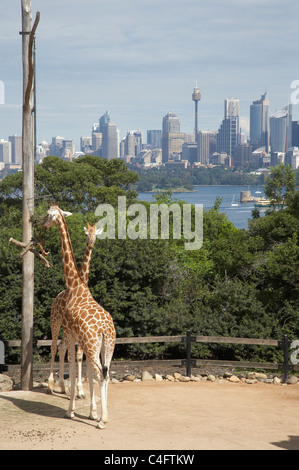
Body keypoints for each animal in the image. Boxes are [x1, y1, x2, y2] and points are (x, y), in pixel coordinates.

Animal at [47, 222, 102, 398]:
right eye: (86, 234)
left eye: (95, 235)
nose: (90, 243)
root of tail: (56, 298)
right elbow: (76, 356)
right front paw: (77, 389)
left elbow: (78, 356)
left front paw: (78, 389)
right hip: (55, 321)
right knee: (54, 346)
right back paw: (52, 384)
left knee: (62, 346)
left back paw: (63, 386)